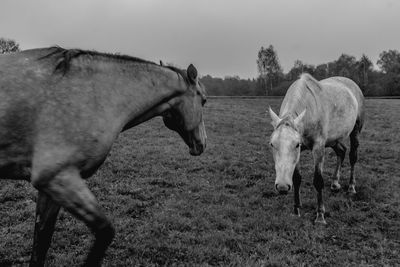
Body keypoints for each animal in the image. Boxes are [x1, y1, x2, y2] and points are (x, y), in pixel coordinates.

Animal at [0, 47, 206, 266]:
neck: (96, 94)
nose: (202, 144)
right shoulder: (57, 178)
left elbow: (42, 240)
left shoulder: (50, 190)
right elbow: (105, 232)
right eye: (204, 100)